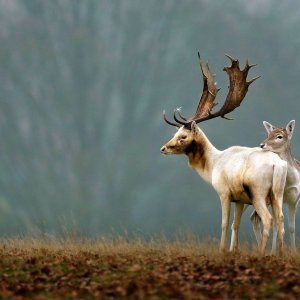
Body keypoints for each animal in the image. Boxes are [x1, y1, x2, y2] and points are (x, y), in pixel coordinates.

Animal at [161, 54, 288, 255]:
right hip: (278, 192)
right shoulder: (240, 199)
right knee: (281, 219)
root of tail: (277, 164)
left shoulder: (224, 192)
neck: (213, 164)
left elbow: (224, 224)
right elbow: (235, 225)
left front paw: (221, 250)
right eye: (175, 133)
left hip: (258, 192)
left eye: (183, 136)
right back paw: (279, 254)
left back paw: (260, 253)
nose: (164, 148)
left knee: (268, 219)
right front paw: (233, 250)